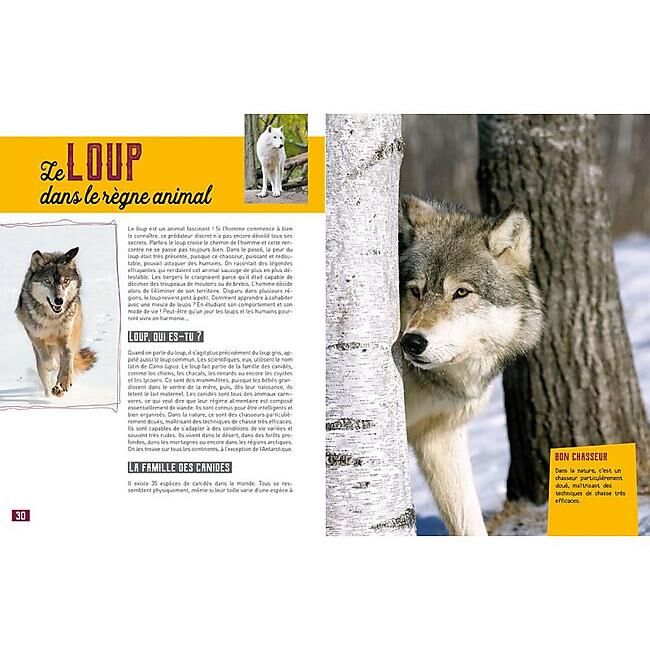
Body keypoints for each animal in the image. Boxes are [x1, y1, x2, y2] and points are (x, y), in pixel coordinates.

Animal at [16, 247, 96, 398]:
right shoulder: (34, 334)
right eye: (48, 281)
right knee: (46, 380)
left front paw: (64, 382)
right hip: (40, 360)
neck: (52, 318)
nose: (59, 300)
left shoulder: (66, 336)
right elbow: (46, 357)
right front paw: (52, 365)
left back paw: (59, 388)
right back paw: (49, 395)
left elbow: (68, 357)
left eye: (65, 281)